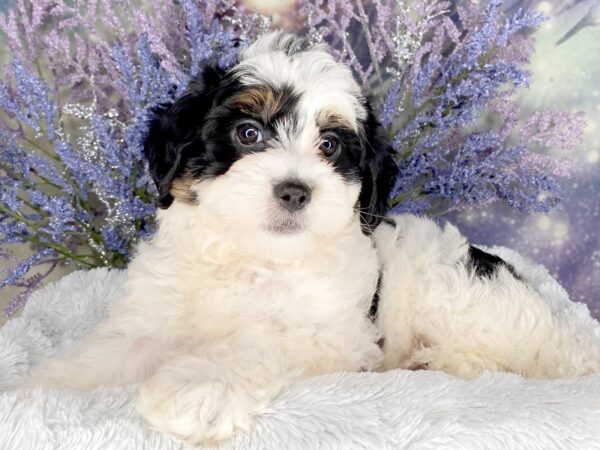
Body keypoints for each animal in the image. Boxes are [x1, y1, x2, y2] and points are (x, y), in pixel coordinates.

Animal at [24, 33, 398, 444]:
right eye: (248, 133)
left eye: (329, 144)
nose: (294, 192)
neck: (251, 257)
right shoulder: (156, 311)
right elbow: (116, 351)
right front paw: (45, 388)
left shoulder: (339, 333)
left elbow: (262, 340)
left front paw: (199, 388)